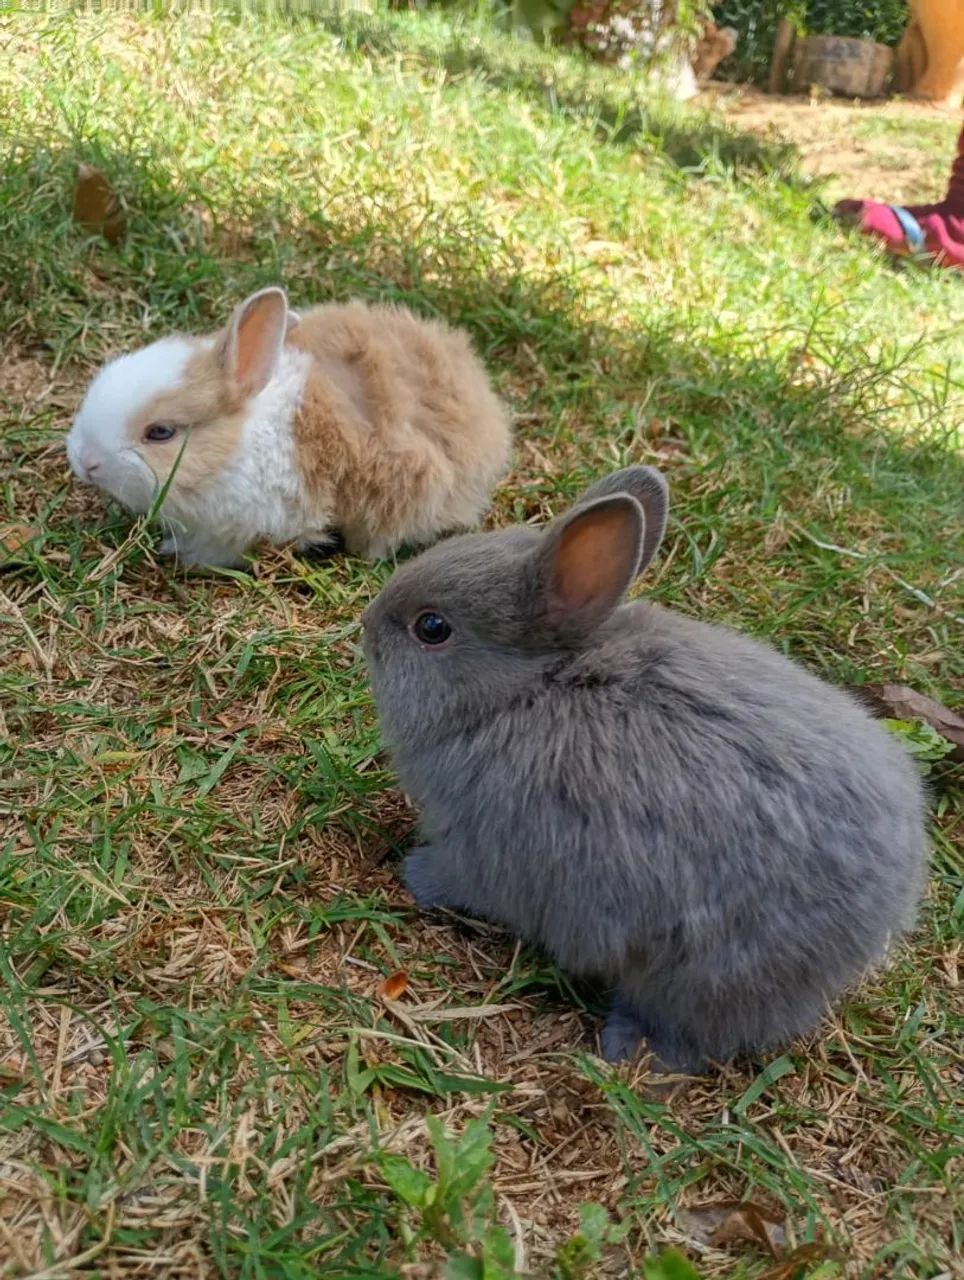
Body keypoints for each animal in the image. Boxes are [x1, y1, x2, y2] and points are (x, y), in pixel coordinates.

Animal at [361, 467, 928, 1073]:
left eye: (432, 627)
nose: (366, 626)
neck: (527, 689)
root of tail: (885, 912)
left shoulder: (485, 847)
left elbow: (460, 877)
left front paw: (415, 876)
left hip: (699, 976)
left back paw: (628, 1048)